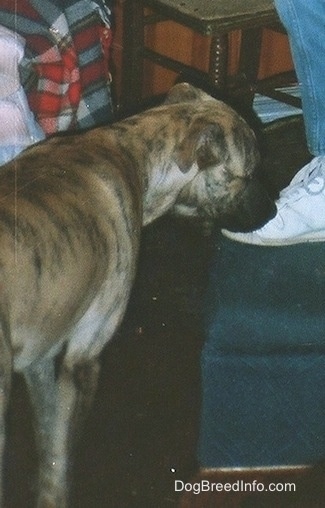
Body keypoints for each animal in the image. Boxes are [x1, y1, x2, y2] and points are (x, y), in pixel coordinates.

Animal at [0, 82, 274, 504]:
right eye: (250, 174)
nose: (274, 210)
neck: (134, 149)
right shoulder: (83, 359)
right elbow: (62, 453)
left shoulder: (40, 361)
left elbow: (48, 441)